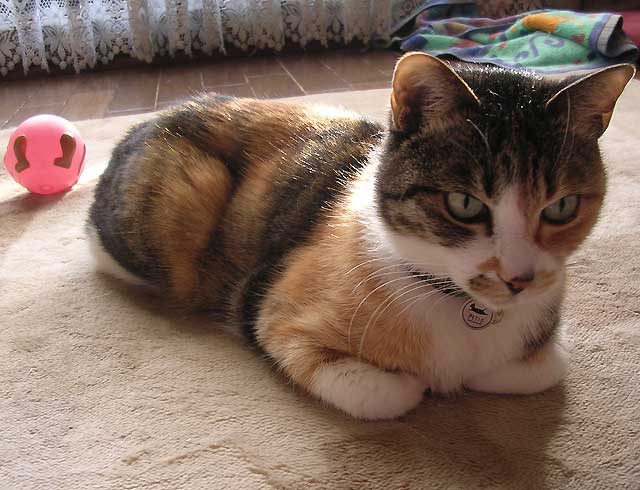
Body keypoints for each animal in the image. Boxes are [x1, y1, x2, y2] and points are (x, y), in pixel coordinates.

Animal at [87, 53, 634, 420]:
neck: (460, 306)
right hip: (187, 199)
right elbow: (388, 394)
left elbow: (544, 366)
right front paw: (420, 383)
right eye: (465, 204)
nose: (519, 279)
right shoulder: (271, 311)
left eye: (561, 207)